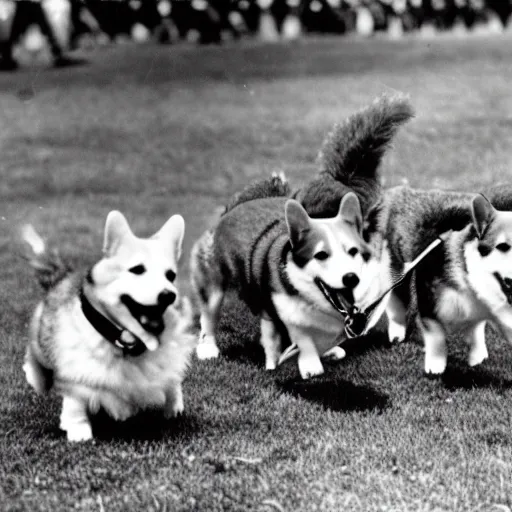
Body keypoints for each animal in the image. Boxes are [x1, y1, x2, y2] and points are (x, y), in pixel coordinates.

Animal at [21, 210, 195, 442]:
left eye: (171, 276)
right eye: (137, 270)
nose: (169, 295)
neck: (126, 342)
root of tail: (61, 277)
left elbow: (171, 380)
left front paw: (174, 408)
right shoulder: (77, 371)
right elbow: (75, 402)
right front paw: (79, 431)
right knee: (37, 370)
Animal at [366, 186, 512, 374]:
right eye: (503, 247)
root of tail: (394, 192)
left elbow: (476, 329)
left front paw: (477, 357)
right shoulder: (427, 300)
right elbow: (436, 336)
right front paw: (435, 366)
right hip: (394, 269)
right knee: (397, 301)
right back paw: (397, 333)